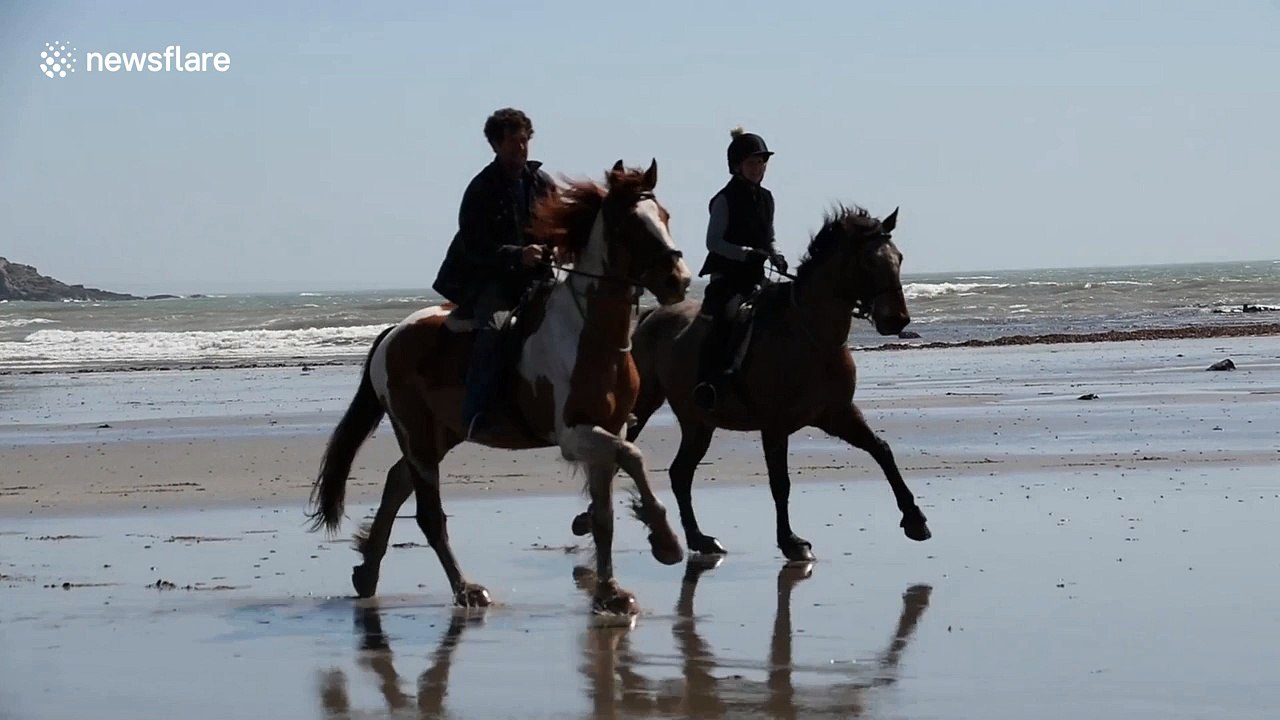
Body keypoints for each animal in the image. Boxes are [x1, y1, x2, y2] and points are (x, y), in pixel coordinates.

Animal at [306, 159, 694, 615]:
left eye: (664, 216)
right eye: (629, 225)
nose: (679, 280)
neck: (591, 334)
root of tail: (392, 333)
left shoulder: (607, 431)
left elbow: (604, 516)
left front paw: (611, 592)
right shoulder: (574, 435)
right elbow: (633, 457)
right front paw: (666, 543)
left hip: (441, 434)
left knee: (397, 481)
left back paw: (367, 573)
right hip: (417, 434)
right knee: (428, 514)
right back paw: (465, 589)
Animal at [571, 204, 932, 562]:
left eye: (899, 257)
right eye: (868, 261)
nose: (897, 319)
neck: (810, 335)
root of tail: (650, 316)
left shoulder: (837, 414)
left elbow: (881, 450)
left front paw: (915, 520)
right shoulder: (774, 426)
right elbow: (780, 482)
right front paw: (791, 542)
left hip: (698, 423)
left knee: (680, 473)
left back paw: (700, 539)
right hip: (645, 404)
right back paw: (590, 519)